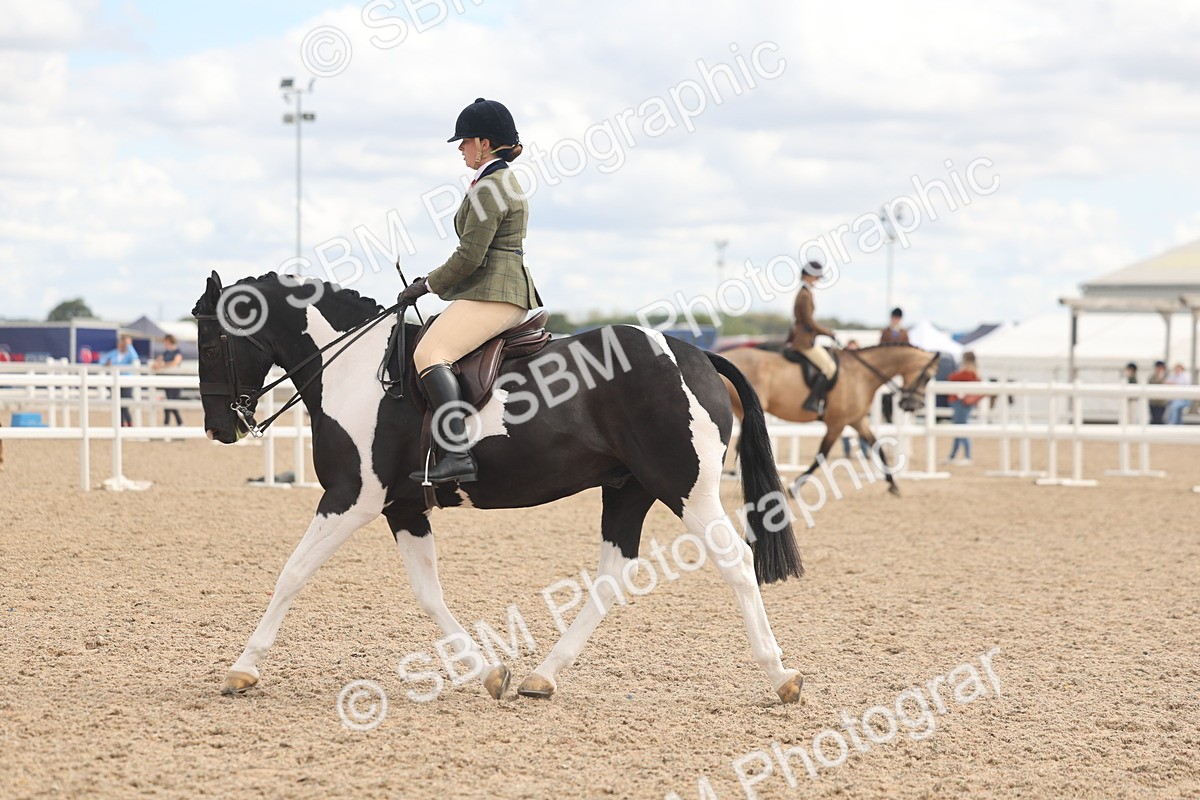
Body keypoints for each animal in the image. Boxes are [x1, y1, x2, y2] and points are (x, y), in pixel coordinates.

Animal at [192, 271, 806, 704]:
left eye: (211, 345)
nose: (220, 428)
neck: (355, 368)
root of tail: (695, 354)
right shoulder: (403, 507)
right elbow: (428, 593)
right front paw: (490, 672)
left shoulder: (351, 498)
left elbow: (292, 572)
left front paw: (242, 669)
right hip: (628, 489)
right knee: (612, 575)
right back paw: (543, 676)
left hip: (685, 488)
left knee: (734, 561)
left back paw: (781, 676)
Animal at [720, 344, 939, 495]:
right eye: (927, 377)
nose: (911, 405)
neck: (861, 374)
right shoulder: (837, 424)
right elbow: (821, 455)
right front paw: (795, 486)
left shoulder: (857, 421)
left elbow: (878, 447)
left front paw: (893, 484)